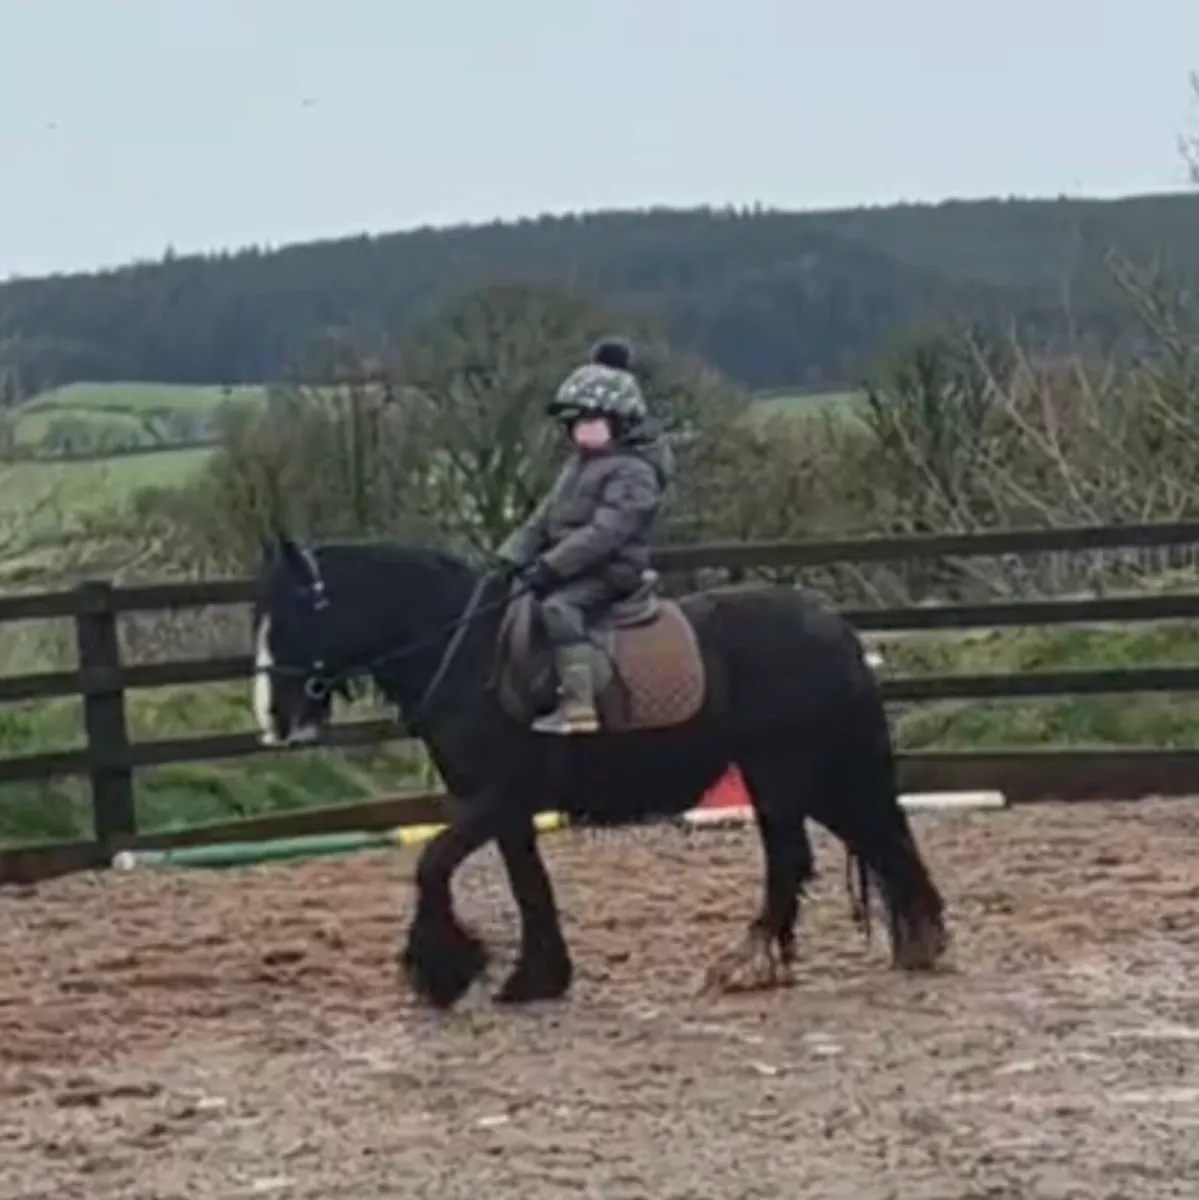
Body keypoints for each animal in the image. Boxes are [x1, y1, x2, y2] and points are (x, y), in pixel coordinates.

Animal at [251, 534, 949, 1010]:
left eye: (291, 616)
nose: (275, 720)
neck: (465, 652)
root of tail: (832, 625)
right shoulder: (500, 806)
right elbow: (528, 882)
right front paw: (537, 977)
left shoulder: (497, 794)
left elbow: (433, 864)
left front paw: (443, 971)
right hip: (816, 773)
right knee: (875, 837)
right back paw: (918, 939)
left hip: (782, 772)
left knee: (792, 860)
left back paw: (747, 963)